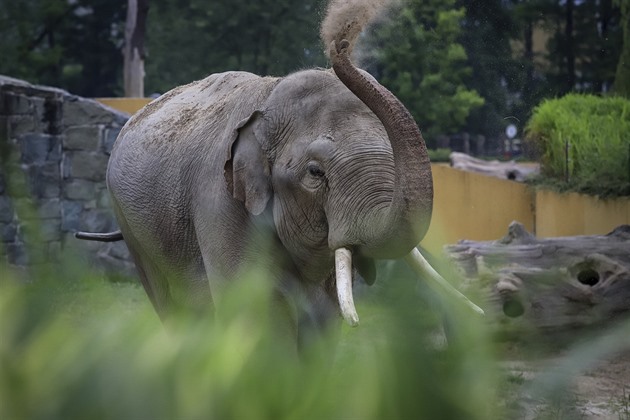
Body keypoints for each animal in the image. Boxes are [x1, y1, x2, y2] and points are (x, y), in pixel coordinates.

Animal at [79, 40, 484, 348]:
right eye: (315, 173)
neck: (268, 99)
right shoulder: (219, 201)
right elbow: (255, 311)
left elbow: (324, 316)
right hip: (132, 227)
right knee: (172, 306)